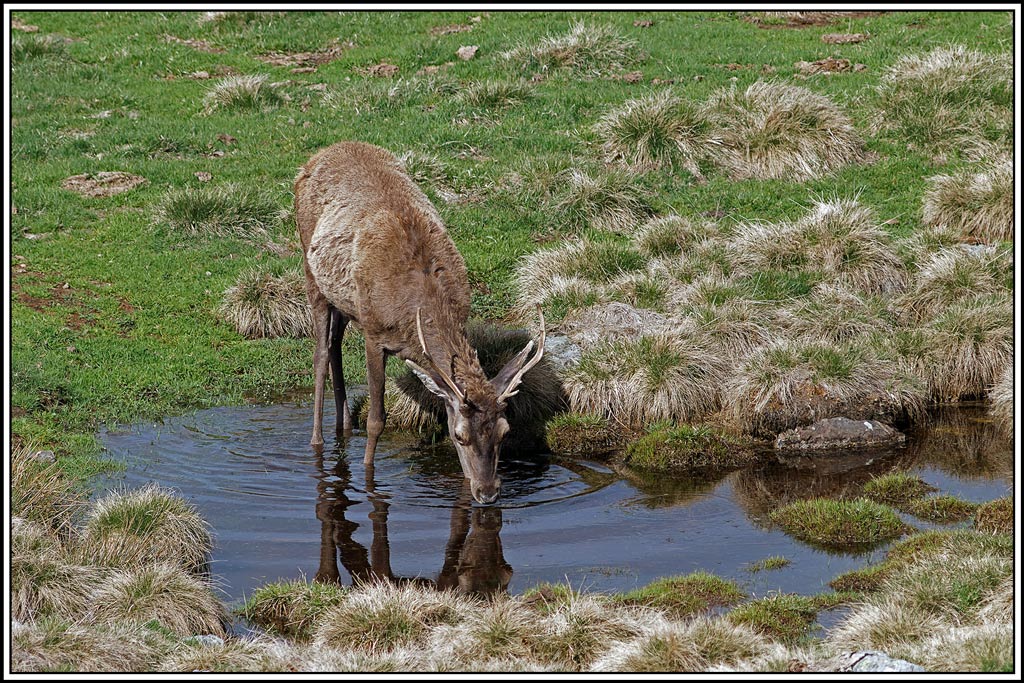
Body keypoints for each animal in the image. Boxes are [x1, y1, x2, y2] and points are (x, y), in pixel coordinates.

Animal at [294, 141, 545, 505]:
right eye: (461, 436)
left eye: (504, 432)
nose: (487, 492)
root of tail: (320, 154)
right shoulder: (374, 332)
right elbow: (376, 420)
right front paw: (369, 477)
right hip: (310, 270)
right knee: (321, 354)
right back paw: (318, 441)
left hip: (344, 300)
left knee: (335, 344)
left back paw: (344, 427)